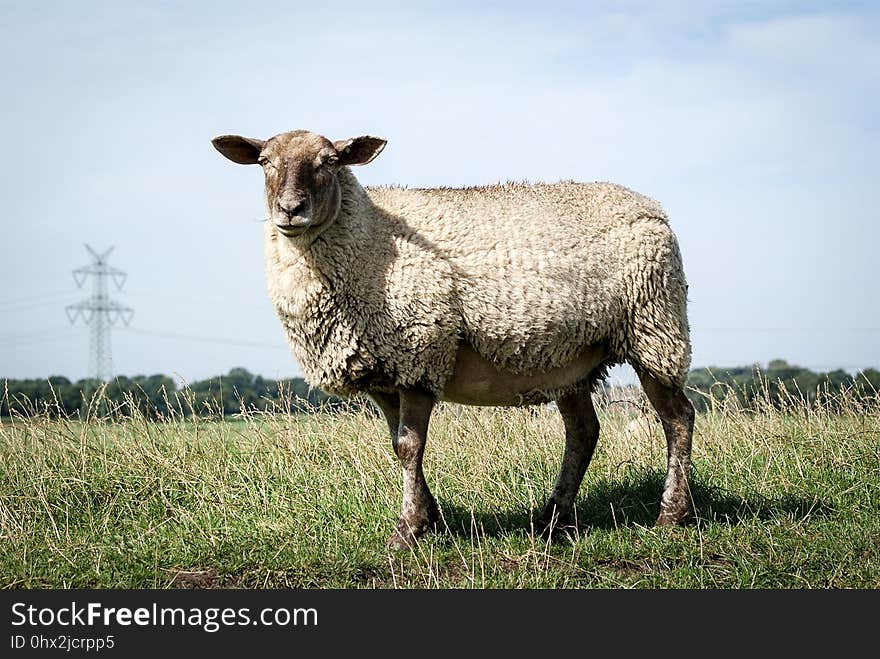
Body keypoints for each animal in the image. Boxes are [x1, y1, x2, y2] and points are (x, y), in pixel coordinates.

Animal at [213, 130, 696, 552]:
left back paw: (670, 515)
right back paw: (552, 519)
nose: (290, 209)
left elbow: (409, 447)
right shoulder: (384, 372)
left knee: (677, 418)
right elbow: (398, 446)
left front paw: (407, 531)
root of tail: (653, 207)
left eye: (330, 161)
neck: (371, 237)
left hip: (655, 328)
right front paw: (429, 518)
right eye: (265, 161)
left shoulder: (420, 352)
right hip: (569, 359)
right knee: (583, 431)